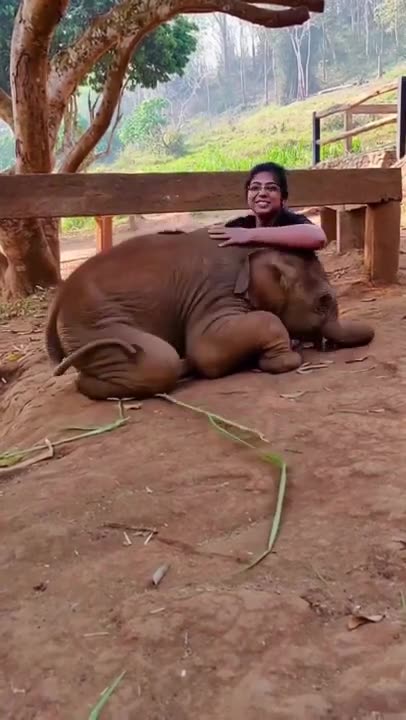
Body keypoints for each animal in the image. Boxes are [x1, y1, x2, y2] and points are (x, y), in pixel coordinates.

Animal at [45, 227, 374, 400]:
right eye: (323, 302)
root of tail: (59, 299)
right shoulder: (218, 291)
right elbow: (207, 350)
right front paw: (285, 360)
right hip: (93, 324)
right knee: (159, 361)